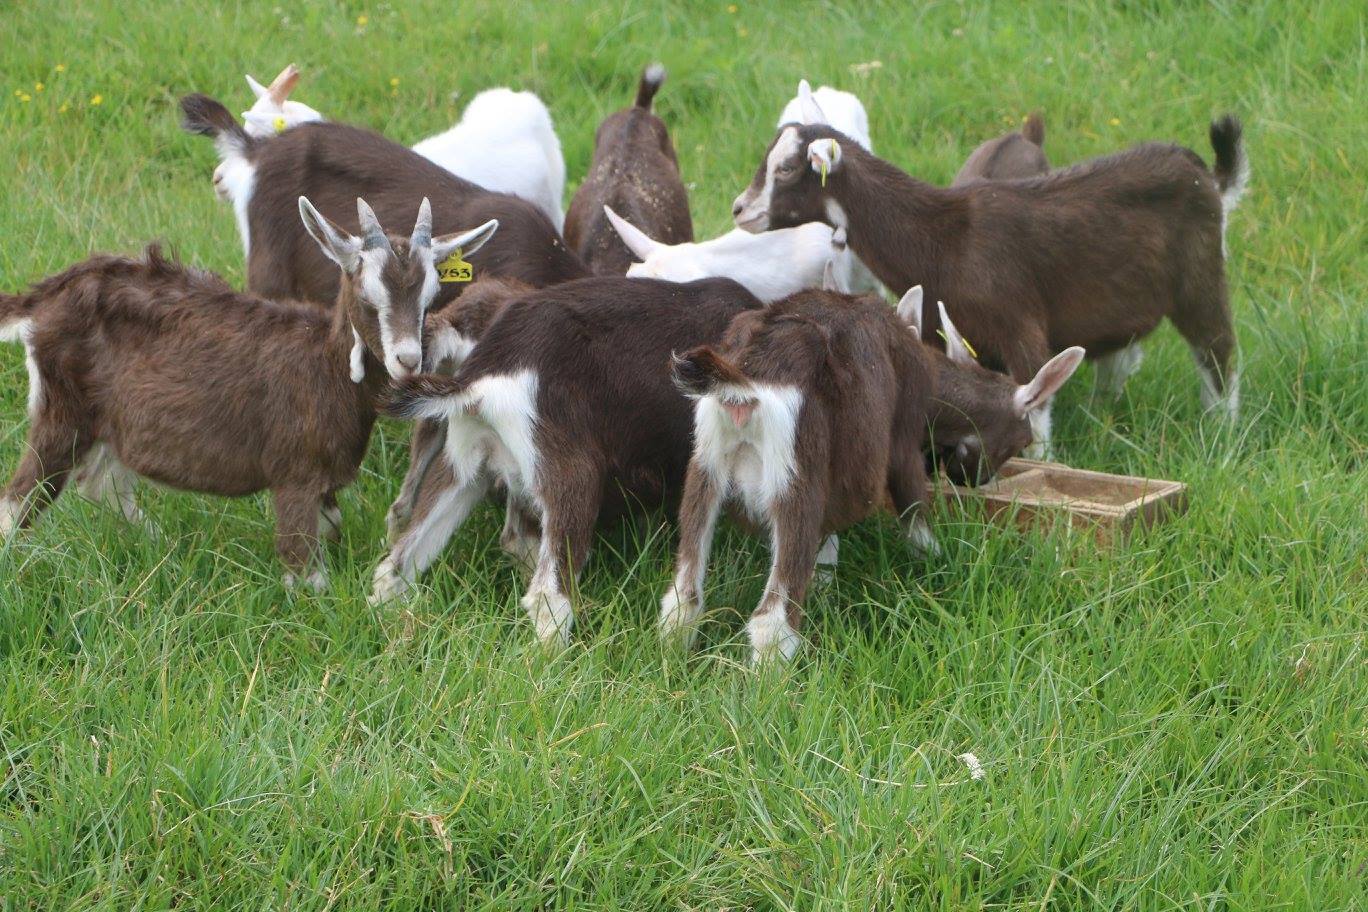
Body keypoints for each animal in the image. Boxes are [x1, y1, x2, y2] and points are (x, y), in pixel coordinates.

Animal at [0, 199, 497, 587]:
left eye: (431, 296)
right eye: (366, 295)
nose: (409, 361)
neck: (324, 369)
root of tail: (48, 295)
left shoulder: (323, 482)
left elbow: (332, 529)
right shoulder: (295, 475)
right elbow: (304, 571)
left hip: (113, 424)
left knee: (101, 483)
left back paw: (164, 552)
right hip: (62, 413)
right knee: (18, 500)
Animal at [661, 290, 1083, 663]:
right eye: (1022, 439)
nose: (974, 480)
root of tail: (745, 381)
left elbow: (827, 543)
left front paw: (825, 586)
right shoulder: (902, 439)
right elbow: (914, 513)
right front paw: (936, 566)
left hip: (705, 466)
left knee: (682, 599)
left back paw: (675, 660)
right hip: (796, 479)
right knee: (772, 621)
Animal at [734, 81, 1247, 454]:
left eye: (786, 170)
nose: (740, 209)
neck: (946, 239)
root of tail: (1205, 175)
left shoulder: (1019, 326)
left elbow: (1034, 411)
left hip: (1201, 277)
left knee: (1218, 353)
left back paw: (1221, 432)